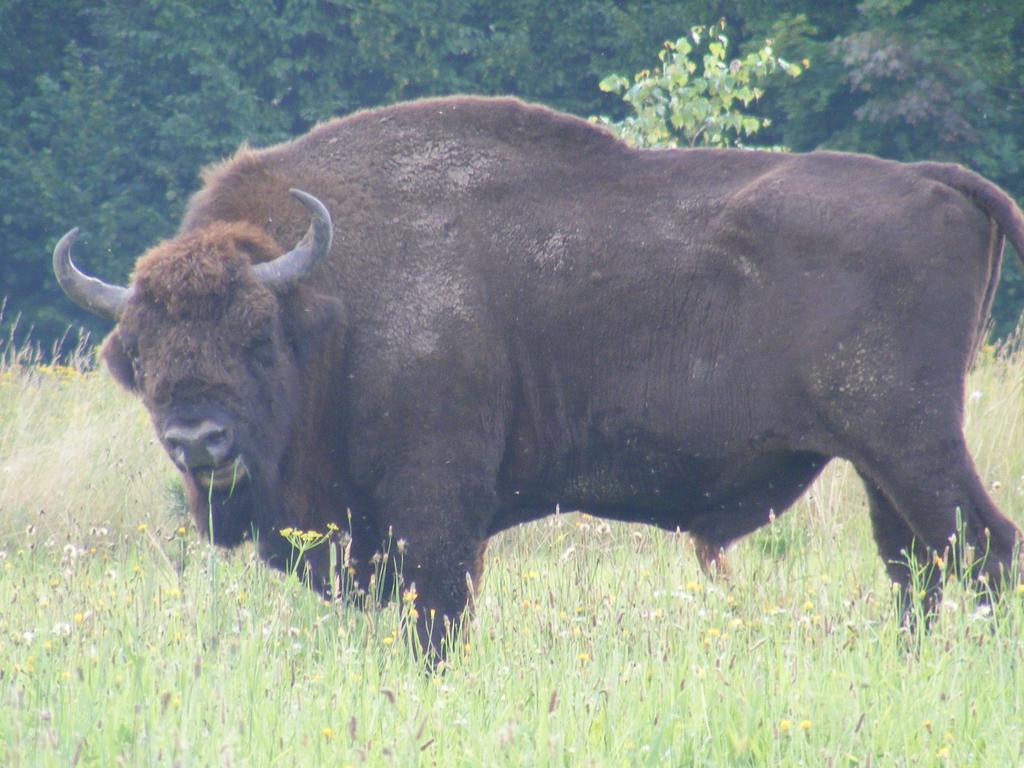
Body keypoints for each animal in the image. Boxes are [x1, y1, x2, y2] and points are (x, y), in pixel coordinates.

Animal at [54, 96, 1024, 655]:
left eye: (258, 337)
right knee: (916, 566)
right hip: (876, 461)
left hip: (911, 442)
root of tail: (935, 181)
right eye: (139, 352)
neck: (332, 302)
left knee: (980, 547)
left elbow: (438, 614)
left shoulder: (435, 512)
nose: (198, 440)